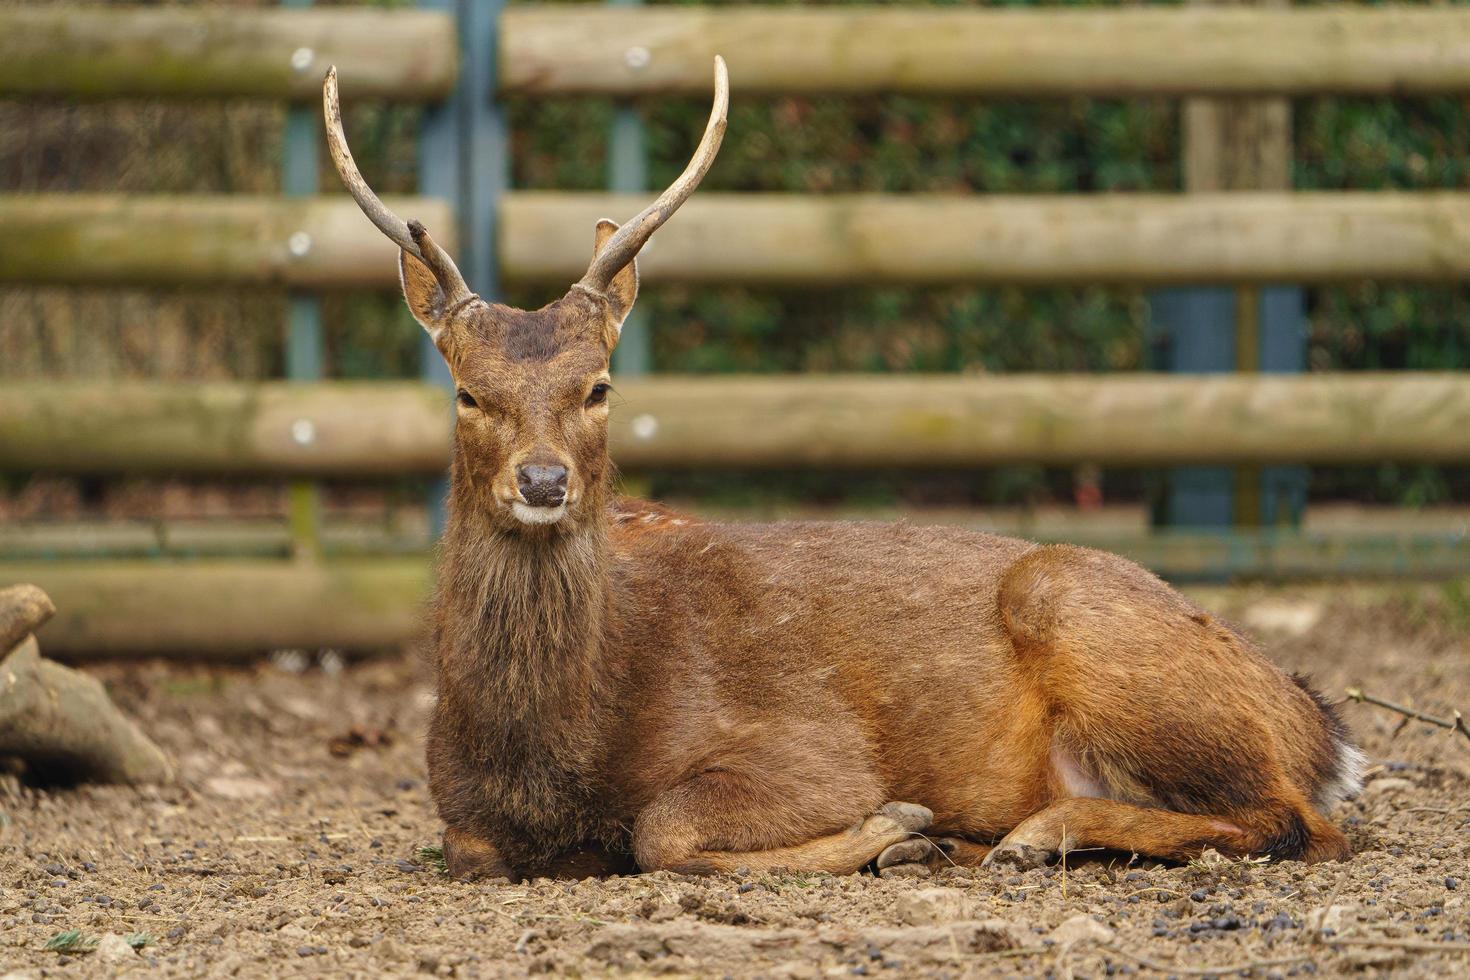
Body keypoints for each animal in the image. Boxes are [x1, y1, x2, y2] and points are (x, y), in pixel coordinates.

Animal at [324, 61, 1364, 881]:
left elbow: (663, 831)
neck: (556, 753)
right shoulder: (458, 814)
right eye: (466, 392)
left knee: (1298, 822)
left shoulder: (810, 748)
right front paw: (907, 838)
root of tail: (1315, 721)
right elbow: (470, 847)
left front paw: (894, 824)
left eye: (599, 386)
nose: (543, 482)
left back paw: (1029, 833)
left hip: (1095, 625)